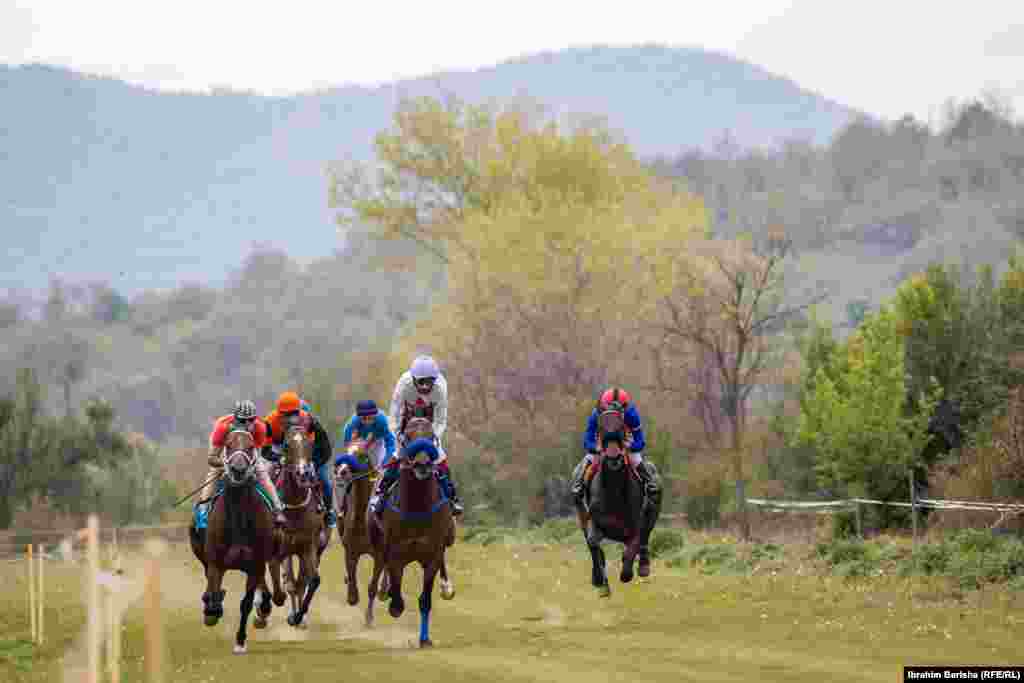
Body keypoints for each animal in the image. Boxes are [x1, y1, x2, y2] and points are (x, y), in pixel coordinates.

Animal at [188, 430, 282, 655]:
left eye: (250, 446)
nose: (238, 469)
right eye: (228, 445)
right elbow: (213, 593)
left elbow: (246, 603)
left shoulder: (255, 564)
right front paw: (211, 610)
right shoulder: (215, 562)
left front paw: (240, 641)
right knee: (210, 581)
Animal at [268, 428, 327, 630]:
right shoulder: (283, 548)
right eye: (287, 445)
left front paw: (299, 616)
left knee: (302, 581)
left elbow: (312, 580)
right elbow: (289, 583)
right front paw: (292, 615)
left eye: (309, 444)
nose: (303, 473)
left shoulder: (308, 546)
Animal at [364, 417, 452, 647]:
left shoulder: (432, 554)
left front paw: (425, 639)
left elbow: (425, 599)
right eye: (409, 437)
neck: (417, 505)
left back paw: (447, 587)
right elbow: (396, 593)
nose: (422, 465)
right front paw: (394, 605)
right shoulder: (396, 553)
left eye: (431, 436)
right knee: (375, 579)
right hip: (377, 545)